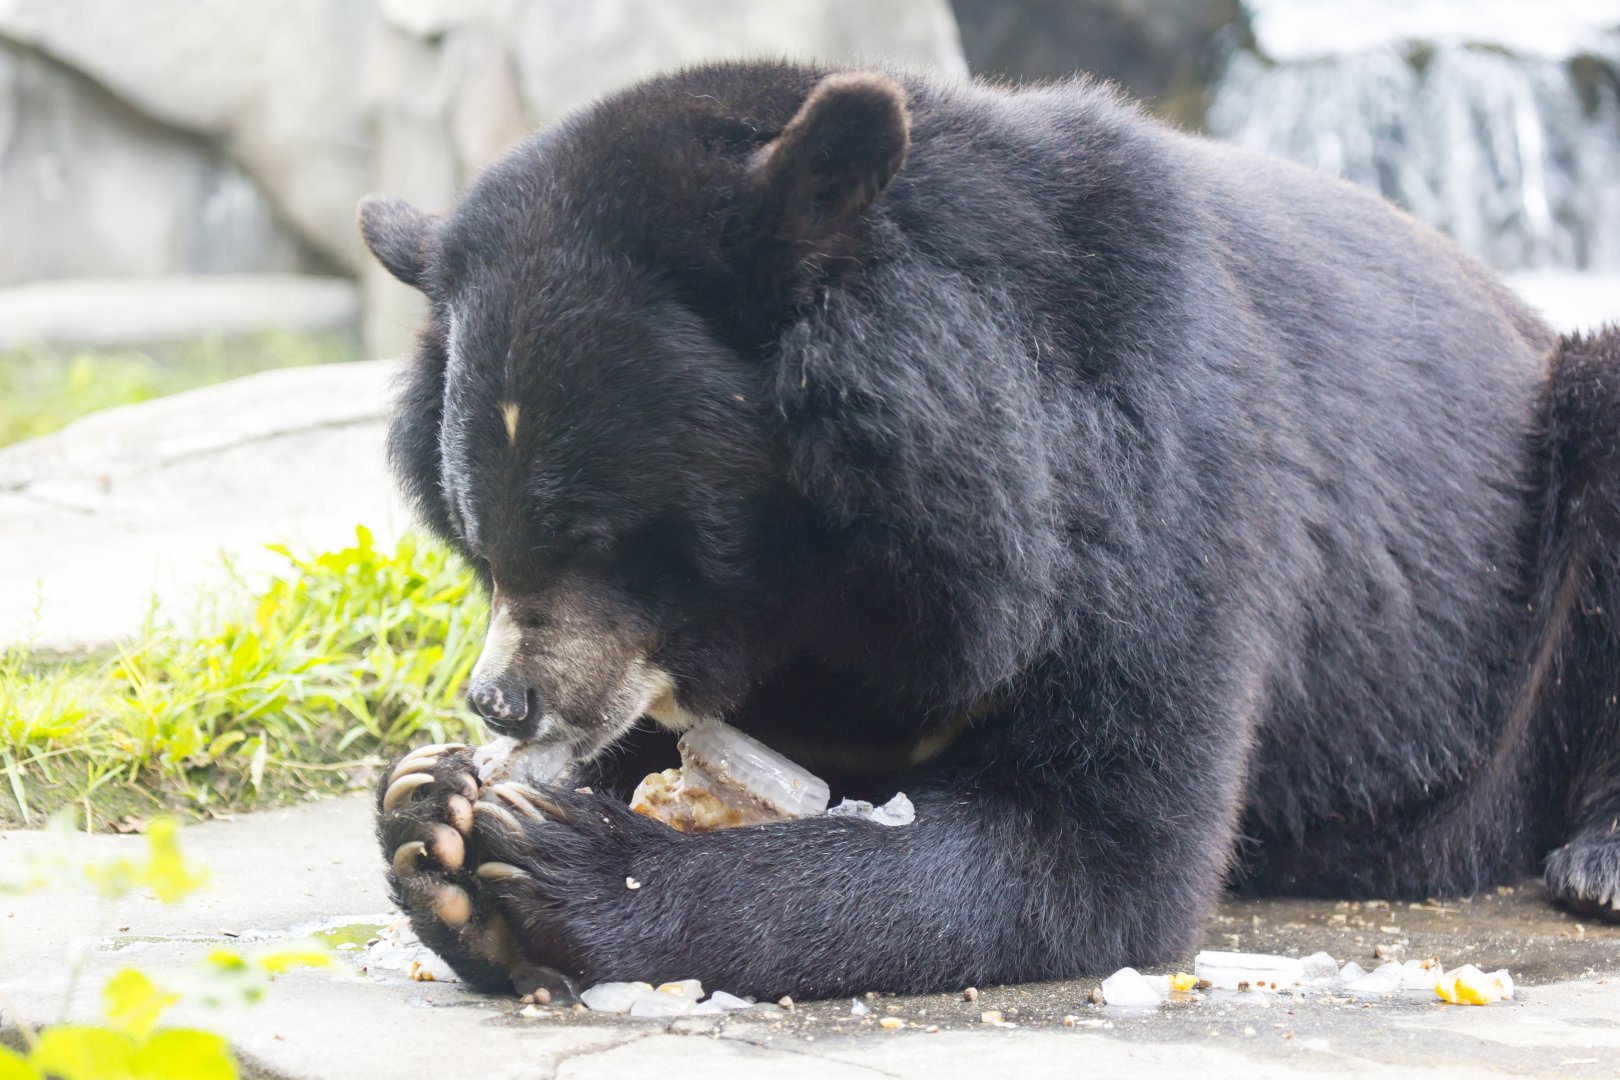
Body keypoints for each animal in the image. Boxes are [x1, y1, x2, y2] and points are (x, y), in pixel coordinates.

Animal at [360, 61, 1620, 998]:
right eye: (478, 532)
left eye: (602, 532)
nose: (504, 701)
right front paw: (432, 809)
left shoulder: (1161, 482)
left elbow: (1102, 845)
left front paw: (555, 867)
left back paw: (1594, 860)